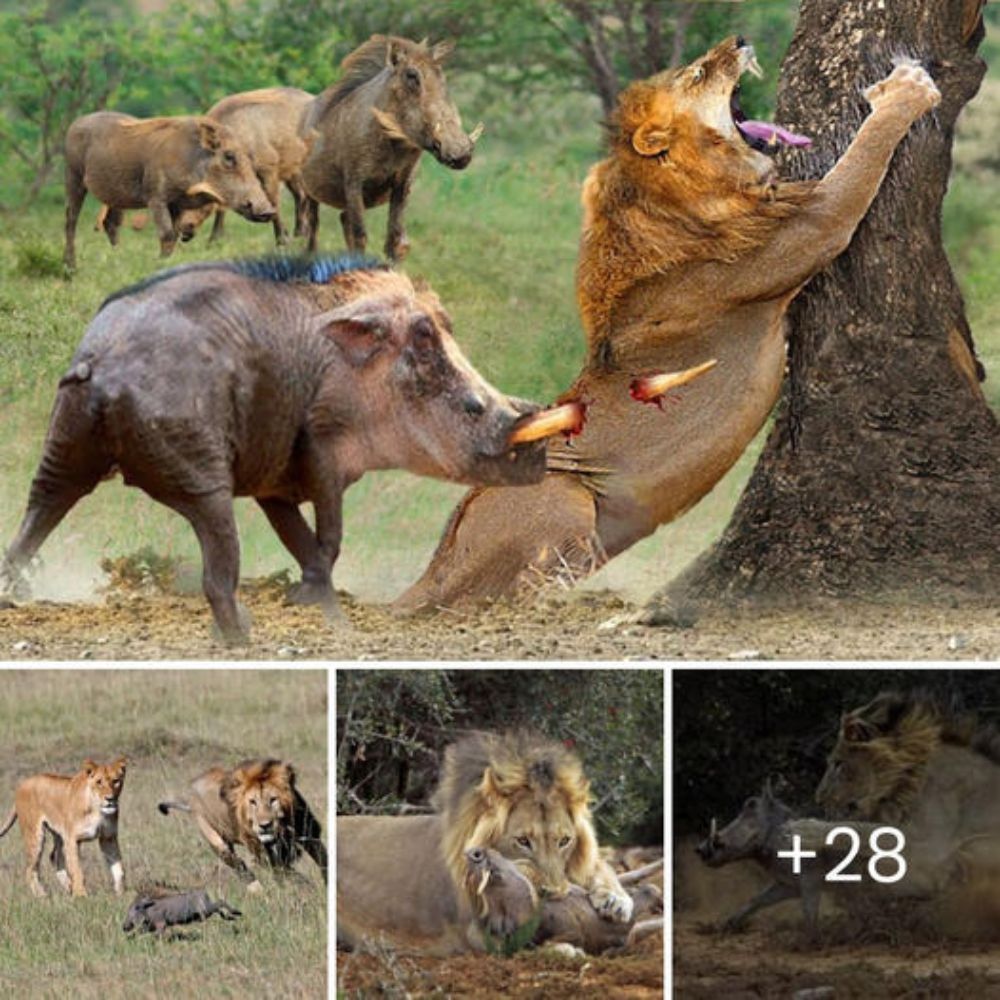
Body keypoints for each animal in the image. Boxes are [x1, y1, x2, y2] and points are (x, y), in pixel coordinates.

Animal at [0, 756, 127, 900]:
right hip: (35, 835)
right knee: (30, 869)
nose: (110, 799)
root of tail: (22, 785)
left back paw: (68, 886)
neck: (97, 810)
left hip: (59, 834)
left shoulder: (108, 838)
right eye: (99, 782)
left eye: (116, 781)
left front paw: (121, 894)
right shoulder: (72, 839)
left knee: (54, 856)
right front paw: (81, 896)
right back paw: (42, 896)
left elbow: (118, 868)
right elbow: (77, 870)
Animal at [157, 756, 328, 892]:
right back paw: (257, 891)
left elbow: (324, 860)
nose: (265, 825)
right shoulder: (263, 854)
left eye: (273, 800)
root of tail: (190, 798)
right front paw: (308, 890)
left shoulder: (310, 835)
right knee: (240, 866)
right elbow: (292, 875)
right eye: (253, 802)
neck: (282, 830)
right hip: (216, 841)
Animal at [336, 732, 632, 956]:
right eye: (523, 841)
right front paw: (565, 950)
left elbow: (599, 865)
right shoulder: (476, 932)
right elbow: (525, 946)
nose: (555, 894)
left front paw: (616, 899)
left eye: (564, 841)